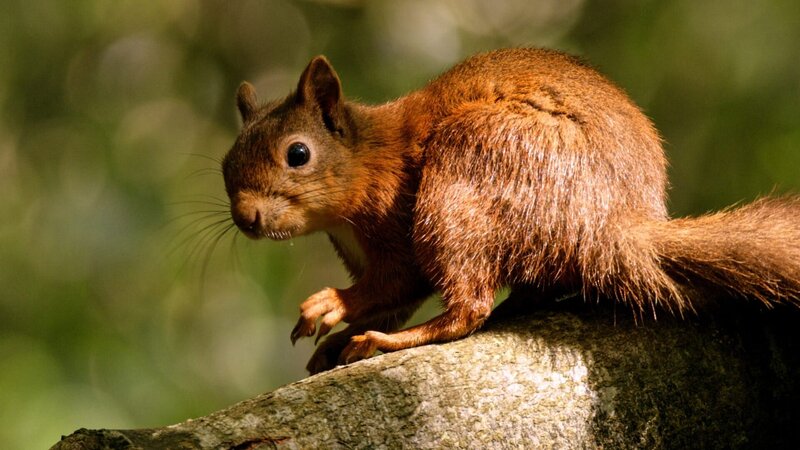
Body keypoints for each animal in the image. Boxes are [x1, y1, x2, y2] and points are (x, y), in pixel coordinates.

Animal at [222, 48, 800, 374]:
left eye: (298, 154)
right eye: (227, 164)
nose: (247, 218)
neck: (368, 158)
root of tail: (612, 224)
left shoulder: (395, 221)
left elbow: (396, 284)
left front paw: (332, 307)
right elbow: (393, 298)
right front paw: (336, 340)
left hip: (468, 169)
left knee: (468, 308)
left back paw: (389, 342)